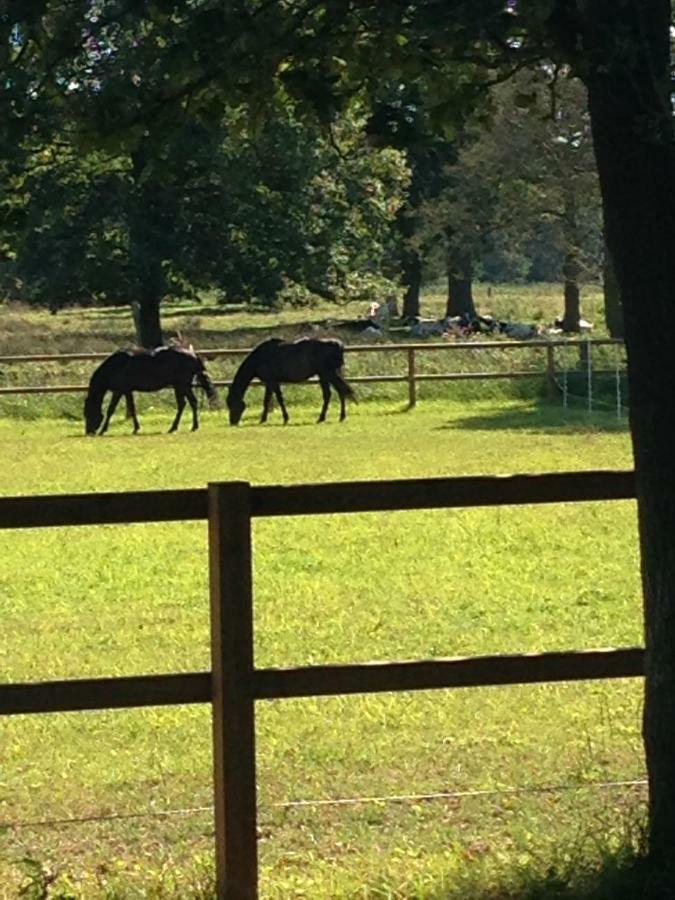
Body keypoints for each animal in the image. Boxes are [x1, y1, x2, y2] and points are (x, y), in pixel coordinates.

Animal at [83, 344, 218, 436]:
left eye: (88, 413)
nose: (89, 432)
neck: (116, 366)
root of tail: (193, 355)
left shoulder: (119, 391)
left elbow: (111, 410)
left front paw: (103, 430)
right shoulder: (127, 391)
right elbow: (132, 409)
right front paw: (136, 428)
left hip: (183, 385)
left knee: (192, 402)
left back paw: (194, 426)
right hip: (178, 386)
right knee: (182, 404)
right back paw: (173, 428)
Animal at [226, 338, 354, 426]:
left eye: (233, 404)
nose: (233, 422)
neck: (259, 358)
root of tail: (336, 344)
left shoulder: (270, 381)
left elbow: (269, 400)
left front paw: (265, 419)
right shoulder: (273, 382)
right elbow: (277, 399)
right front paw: (282, 418)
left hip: (327, 374)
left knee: (336, 392)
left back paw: (327, 417)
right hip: (326, 376)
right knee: (337, 392)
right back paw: (336, 417)